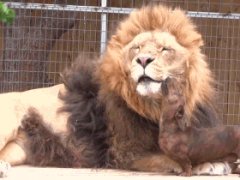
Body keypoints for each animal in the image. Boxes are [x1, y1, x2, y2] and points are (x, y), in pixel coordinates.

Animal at [0, 4, 234, 177]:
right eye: (137, 48)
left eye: (165, 49)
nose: (143, 60)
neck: (156, 106)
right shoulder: (125, 151)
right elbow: (170, 156)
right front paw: (206, 164)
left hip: (18, 150)